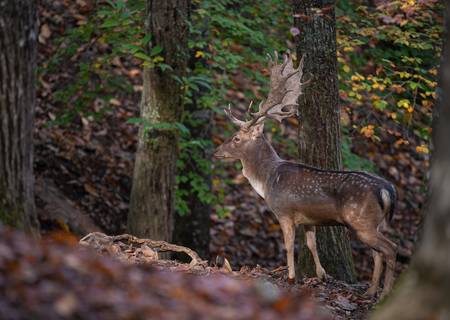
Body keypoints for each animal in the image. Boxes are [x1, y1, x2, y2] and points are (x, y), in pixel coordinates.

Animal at [214, 52, 398, 298]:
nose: (216, 151)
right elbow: (312, 244)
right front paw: (321, 275)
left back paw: (385, 293)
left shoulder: (283, 211)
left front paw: (291, 277)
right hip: (371, 223)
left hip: (361, 221)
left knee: (390, 249)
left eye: (235, 138)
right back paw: (370, 290)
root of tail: (388, 189)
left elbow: (289, 245)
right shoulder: (309, 219)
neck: (267, 180)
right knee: (377, 253)